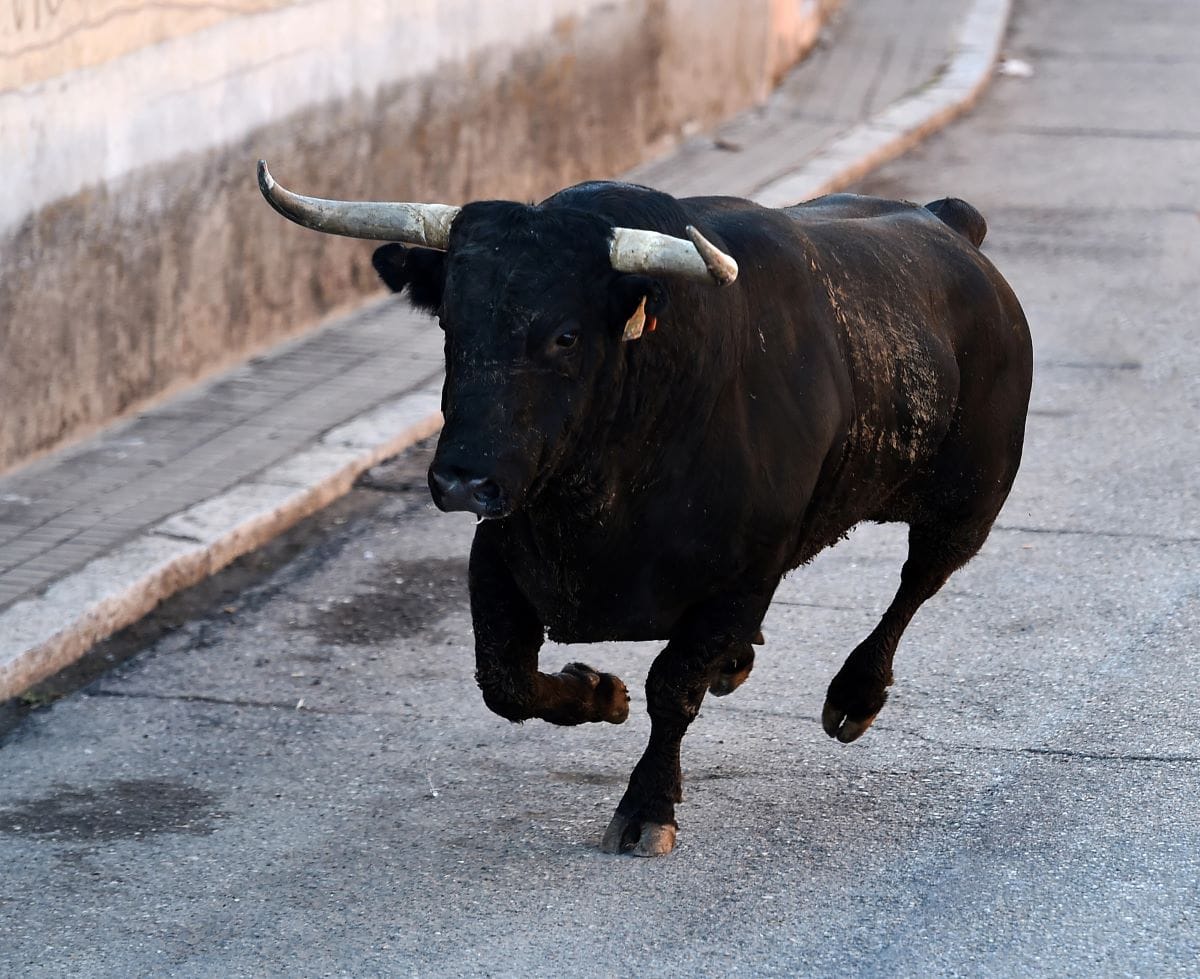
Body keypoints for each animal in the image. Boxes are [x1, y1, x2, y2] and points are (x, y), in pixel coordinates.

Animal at [288, 176, 1032, 854]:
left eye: (565, 335)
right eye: (449, 323)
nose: (462, 480)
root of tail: (948, 223)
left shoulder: (745, 575)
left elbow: (672, 687)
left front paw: (647, 808)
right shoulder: (498, 553)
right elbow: (504, 679)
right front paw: (598, 693)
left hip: (970, 502)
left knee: (916, 583)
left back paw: (854, 695)